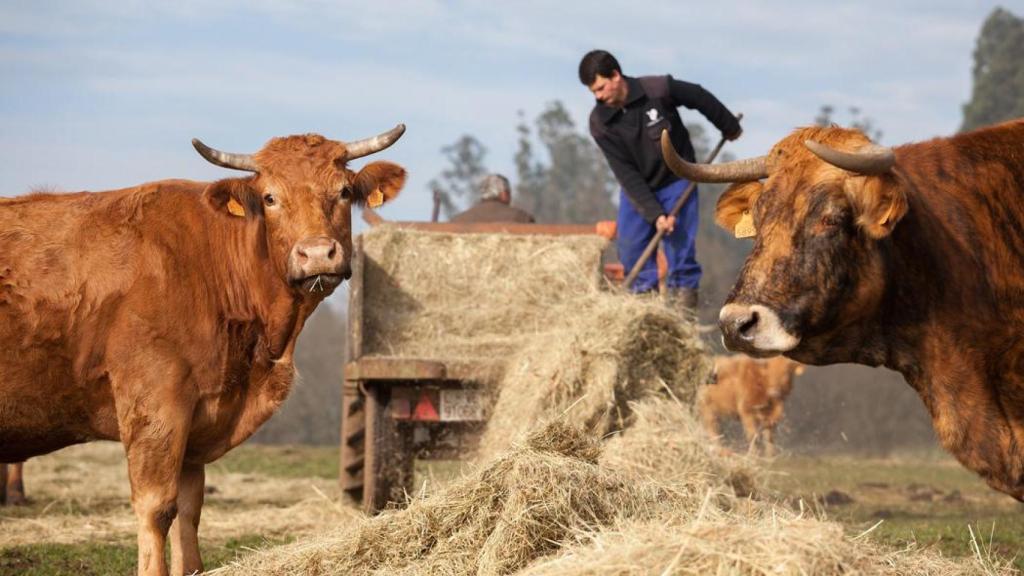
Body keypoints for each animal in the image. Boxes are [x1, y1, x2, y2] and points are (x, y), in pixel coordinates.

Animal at [0, 124, 407, 569]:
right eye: (270, 198)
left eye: (344, 191)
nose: (317, 254)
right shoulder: (155, 405)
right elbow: (157, 509)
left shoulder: (196, 427)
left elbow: (189, 513)